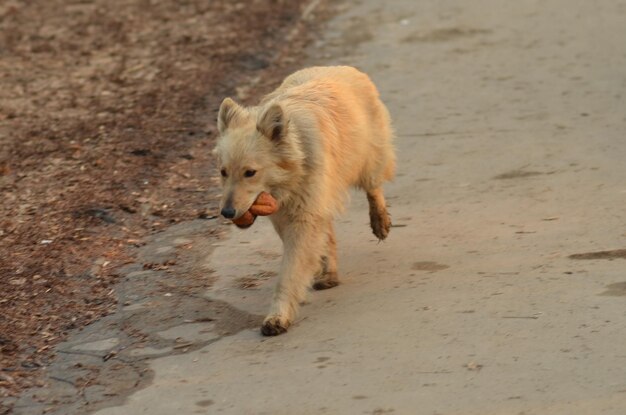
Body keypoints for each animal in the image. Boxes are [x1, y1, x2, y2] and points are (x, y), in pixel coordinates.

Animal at [212, 66, 392, 338]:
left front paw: (278, 316)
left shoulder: (304, 216)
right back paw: (328, 273)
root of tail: (341, 68)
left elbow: (289, 272)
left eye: (250, 172)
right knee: (328, 232)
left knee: (373, 187)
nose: (227, 212)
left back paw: (379, 220)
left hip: (367, 161)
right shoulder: (288, 215)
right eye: (223, 172)